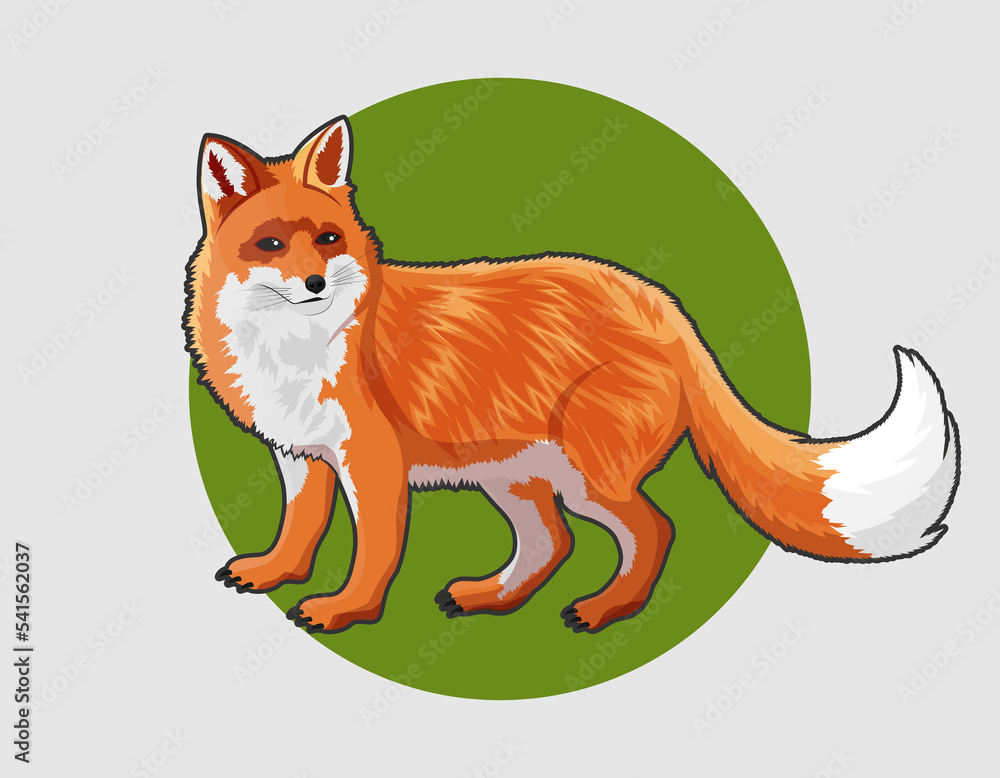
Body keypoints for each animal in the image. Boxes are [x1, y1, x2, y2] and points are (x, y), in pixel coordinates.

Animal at [183, 116, 961, 635]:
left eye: (328, 239)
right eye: (271, 244)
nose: (315, 283)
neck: (297, 347)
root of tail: (661, 304)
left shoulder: (370, 462)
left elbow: (373, 550)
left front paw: (348, 610)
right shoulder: (301, 453)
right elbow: (299, 529)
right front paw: (273, 573)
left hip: (588, 473)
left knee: (654, 530)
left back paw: (607, 609)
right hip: (514, 475)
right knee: (552, 543)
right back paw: (492, 598)